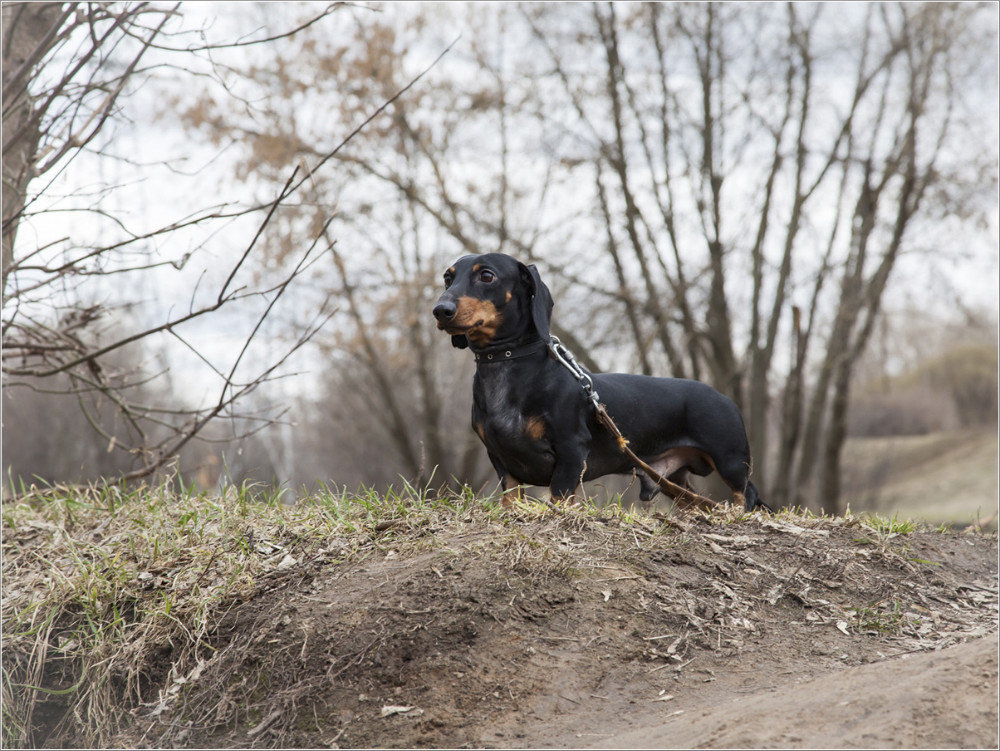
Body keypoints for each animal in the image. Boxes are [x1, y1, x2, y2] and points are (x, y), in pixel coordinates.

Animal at [434, 253, 768, 512]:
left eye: (486, 275)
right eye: (448, 279)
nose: (440, 310)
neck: (507, 364)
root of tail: (724, 398)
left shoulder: (571, 450)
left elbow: (560, 495)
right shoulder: (500, 458)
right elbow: (511, 496)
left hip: (731, 462)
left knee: (746, 495)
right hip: (673, 480)